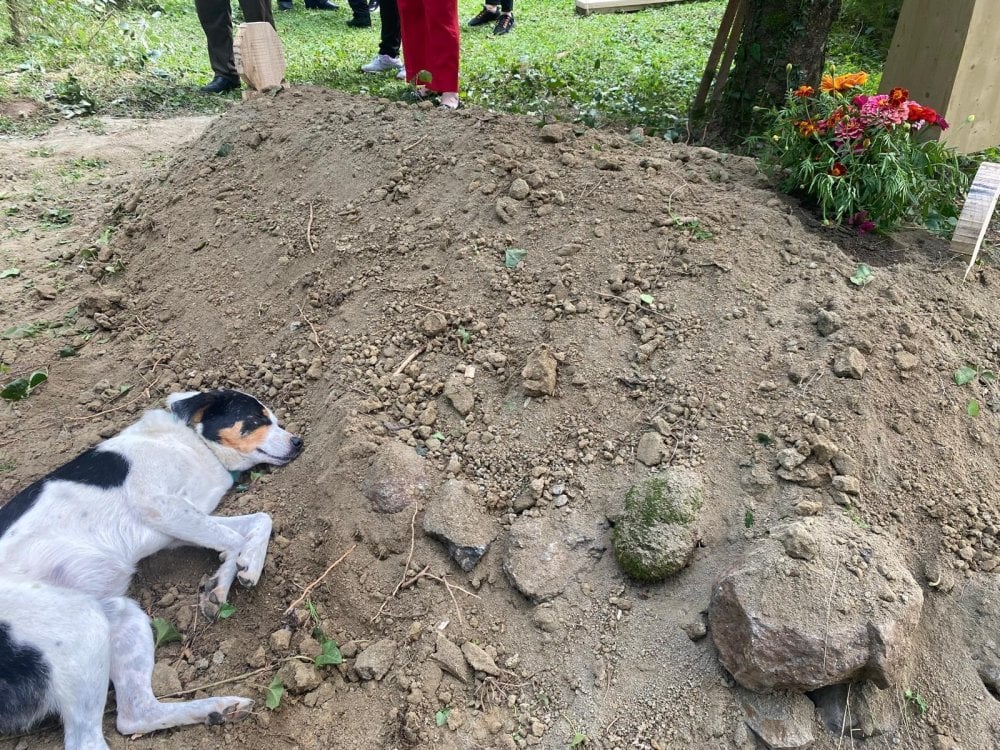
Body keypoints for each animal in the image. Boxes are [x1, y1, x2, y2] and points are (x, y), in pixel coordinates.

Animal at [0, 390, 300, 748]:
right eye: (256, 420)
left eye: (278, 421)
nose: (298, 442)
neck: (194, 444)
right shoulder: (161, 507)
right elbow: (234, 537)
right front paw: (244, 567)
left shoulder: (177, 526)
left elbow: (258, 521)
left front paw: (219, 584)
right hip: (79, 622)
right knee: (86, 739)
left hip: (121, 617)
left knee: (135, 715)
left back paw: (217, 709)